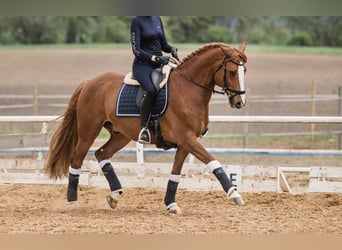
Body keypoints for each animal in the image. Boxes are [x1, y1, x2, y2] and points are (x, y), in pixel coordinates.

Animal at [45, 42, 248, 214]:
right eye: (232, 72)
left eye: (244, 70)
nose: (240, 102)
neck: (188, 89)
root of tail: (89, 82)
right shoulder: (187, 138)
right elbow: (213, 162)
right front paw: (234, 194)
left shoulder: (185, 143)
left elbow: (175, 173)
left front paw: (171, 204)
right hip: (88, 132)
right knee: (76, 160)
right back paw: (73, 202)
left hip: (121, 135)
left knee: (102, 154)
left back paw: (114, 195)